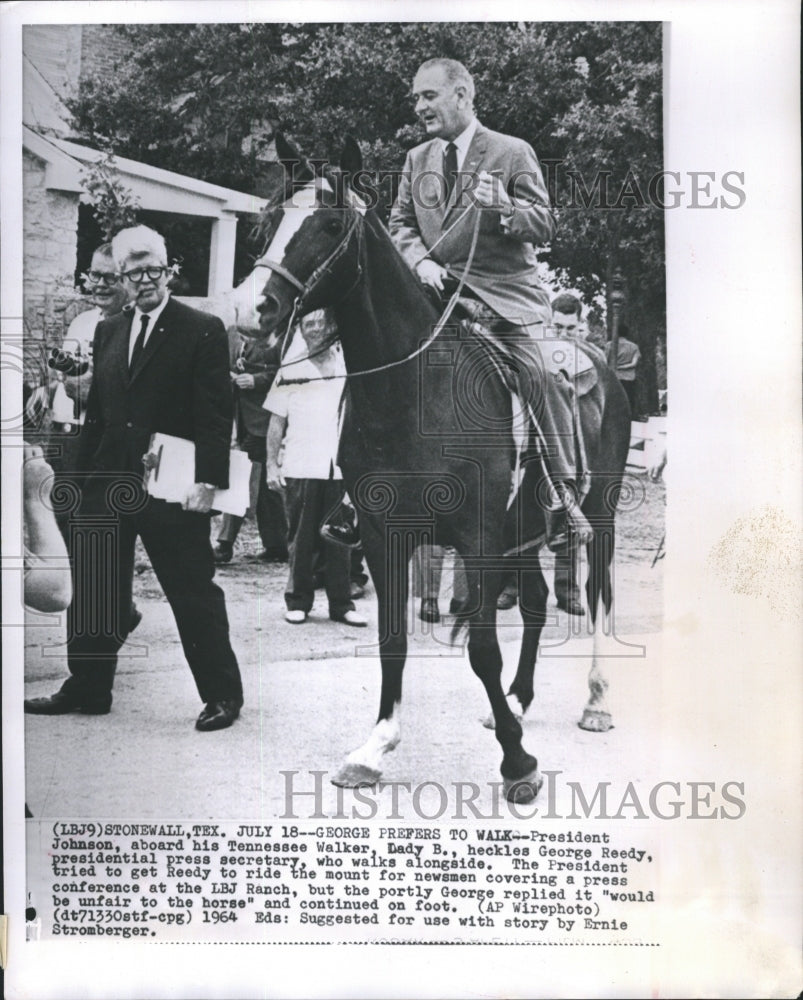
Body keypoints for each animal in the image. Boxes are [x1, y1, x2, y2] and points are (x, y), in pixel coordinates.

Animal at [232, 135, 636, 804]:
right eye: (267, 222)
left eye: (331, 224)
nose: (250, 308)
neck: (414, 392)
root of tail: (599, 361)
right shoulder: (381, 534)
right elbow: (392, 640)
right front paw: (375, 747)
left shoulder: (476, 534)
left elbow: (482, 650)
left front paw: (518, 764)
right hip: (522, 529)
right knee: (533, 603)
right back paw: (519, 701)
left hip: (594, 517)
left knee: (598, 596)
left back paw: (598, 702)